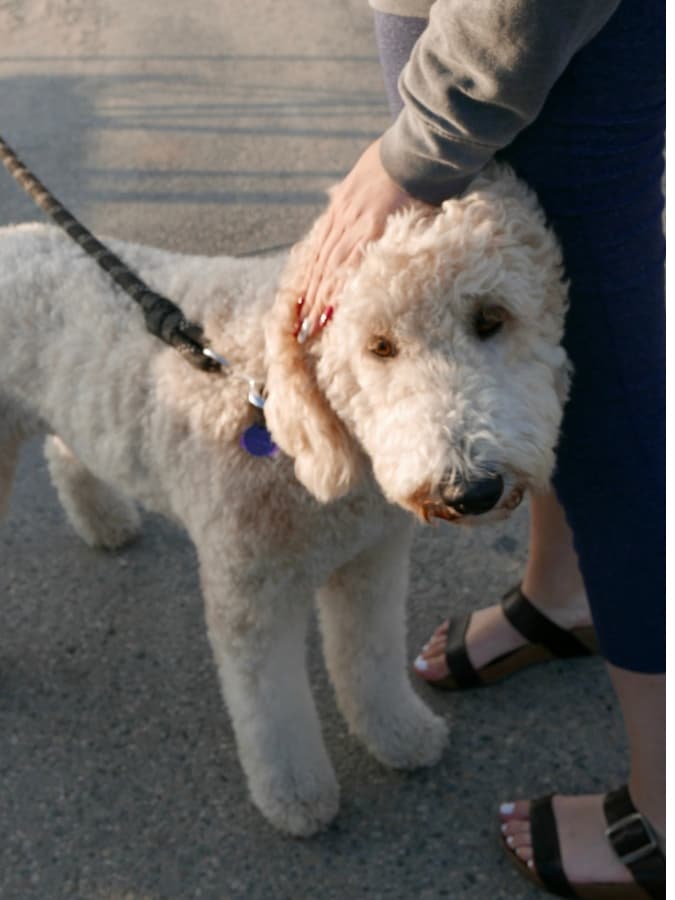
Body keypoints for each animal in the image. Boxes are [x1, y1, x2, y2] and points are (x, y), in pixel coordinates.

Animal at [0, 163, 572, 836]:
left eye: (490, 317)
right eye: (380, 345)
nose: (472, 490)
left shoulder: (370, 562)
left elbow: (370, 657)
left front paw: (401, 735)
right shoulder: (253, 597)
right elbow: (273, 710)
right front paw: (298, 798)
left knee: (68, 449)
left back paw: (106, 521)